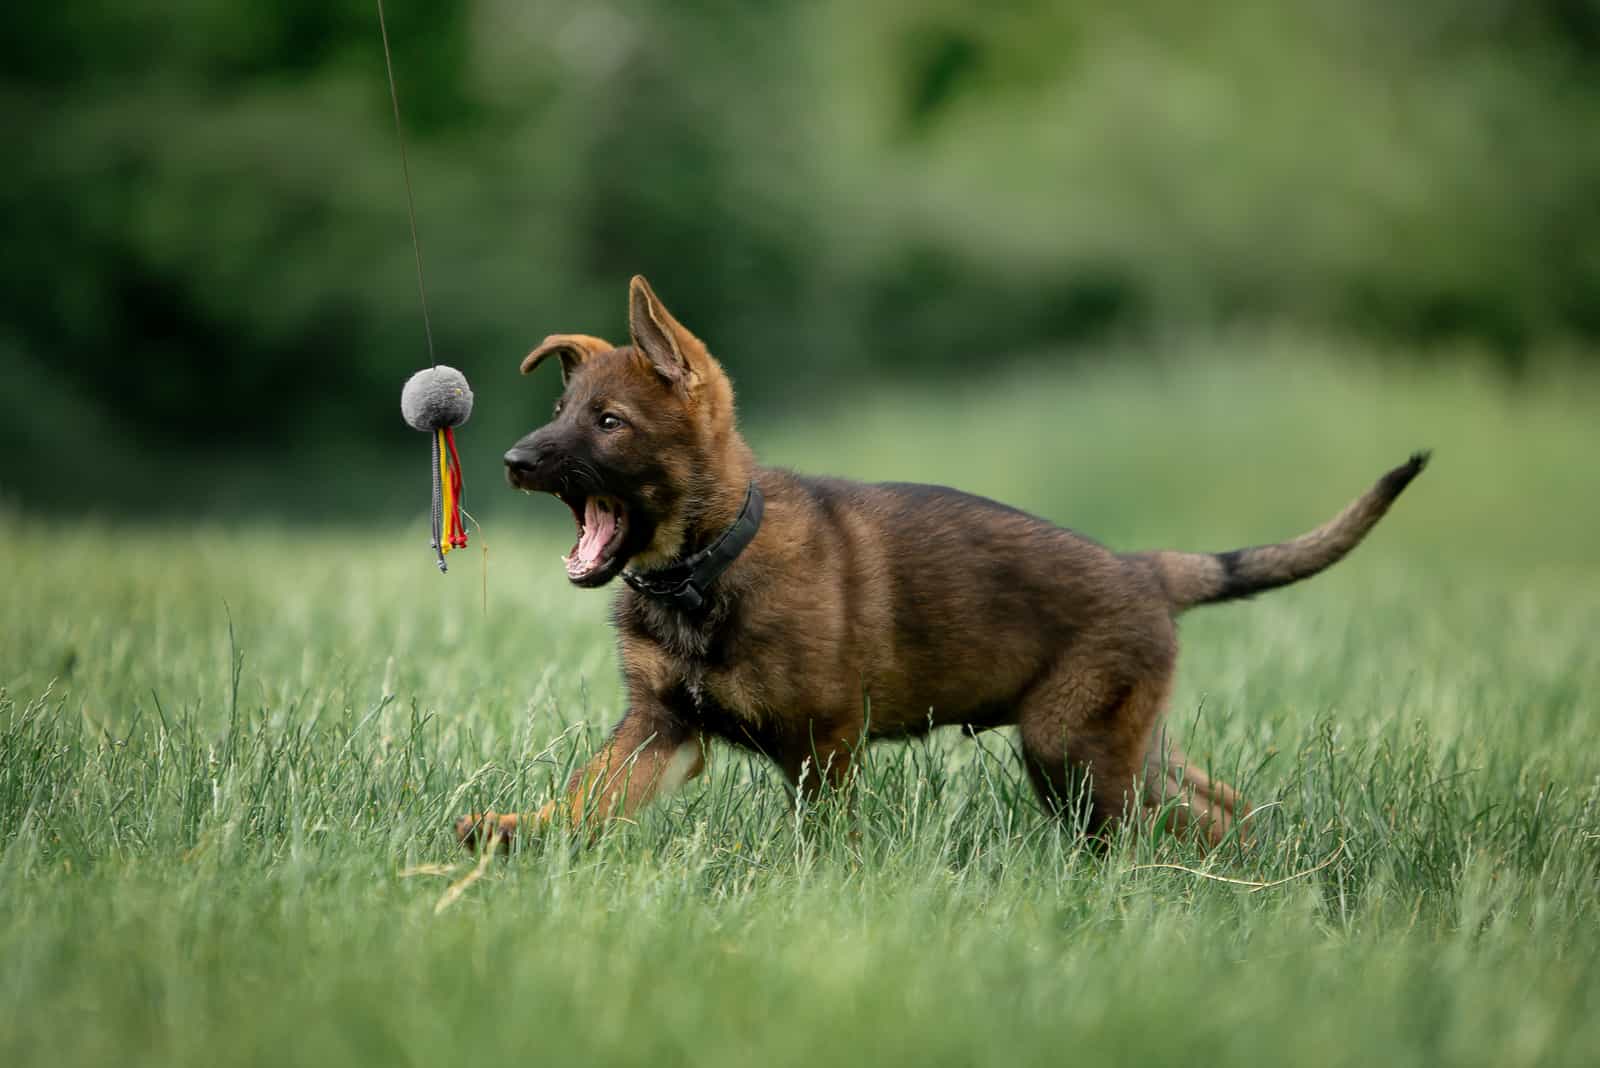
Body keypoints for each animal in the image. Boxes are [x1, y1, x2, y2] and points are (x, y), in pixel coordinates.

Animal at [457, 274, 1433, 850]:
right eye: (559, 410)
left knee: (1142, 828)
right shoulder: (658, 727)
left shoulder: (824, 741)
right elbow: (586, 796)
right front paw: (512, 830)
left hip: (1071, 746)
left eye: (608, 423)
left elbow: (822, 835)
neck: (703, 568)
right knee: (1215, 807)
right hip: (1124, 741)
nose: (512, 459)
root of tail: (1145, 568)